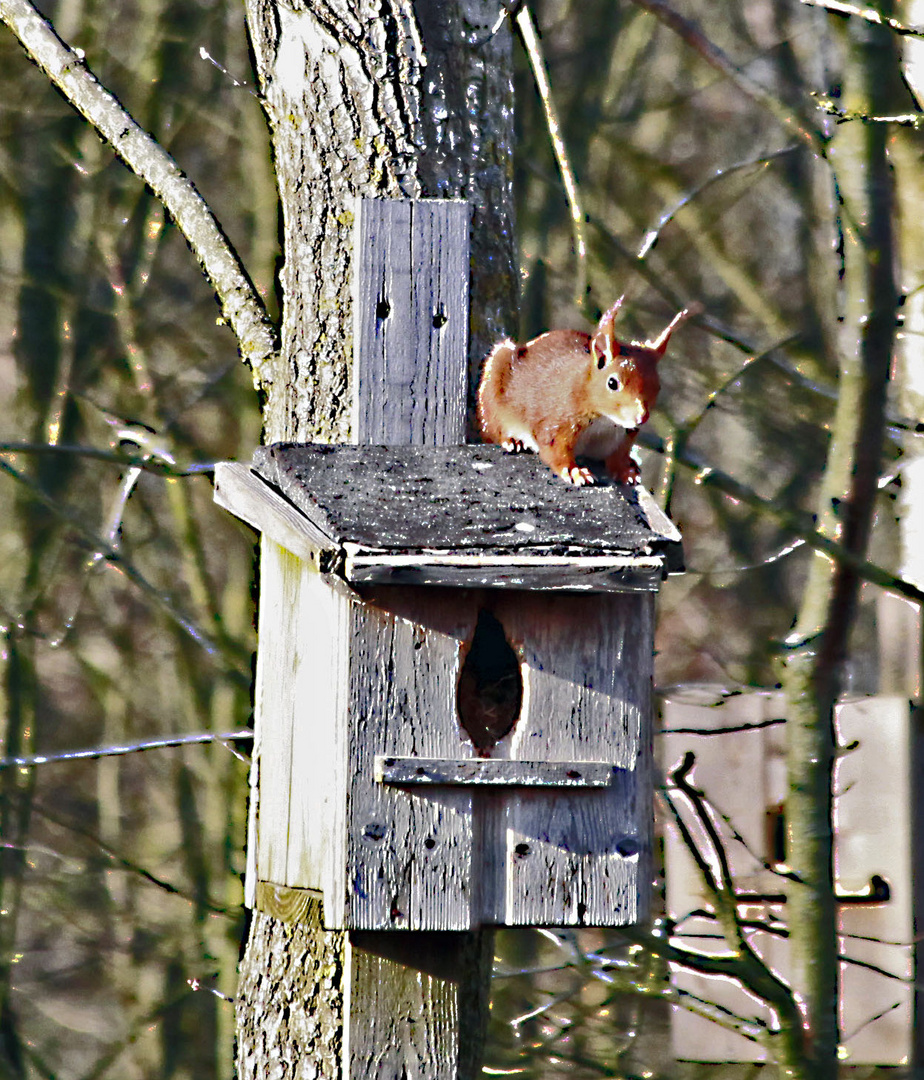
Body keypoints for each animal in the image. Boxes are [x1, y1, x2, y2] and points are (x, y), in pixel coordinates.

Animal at [477, 293, 690, 483]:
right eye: (612, 383)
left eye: (658, 386)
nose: (641, 418)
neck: (605, 421)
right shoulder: (558, 421)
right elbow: (555, 450)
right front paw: (575, 472)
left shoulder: (624, 436)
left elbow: (618, 457)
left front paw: (625, 471)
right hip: (493, 389)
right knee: (495, 425)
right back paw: (511, 440)